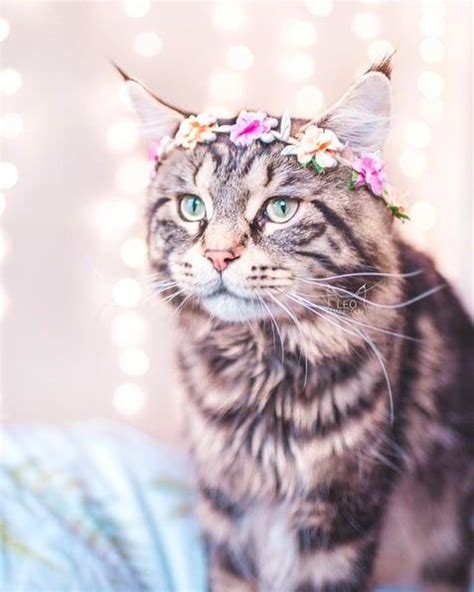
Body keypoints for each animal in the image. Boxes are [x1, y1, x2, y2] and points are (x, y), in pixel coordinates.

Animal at [119, 56, 474, 592]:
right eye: (192, 207)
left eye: (280, 209)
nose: (219, 255)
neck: (259, 369)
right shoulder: (226, 508)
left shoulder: (338, 517)